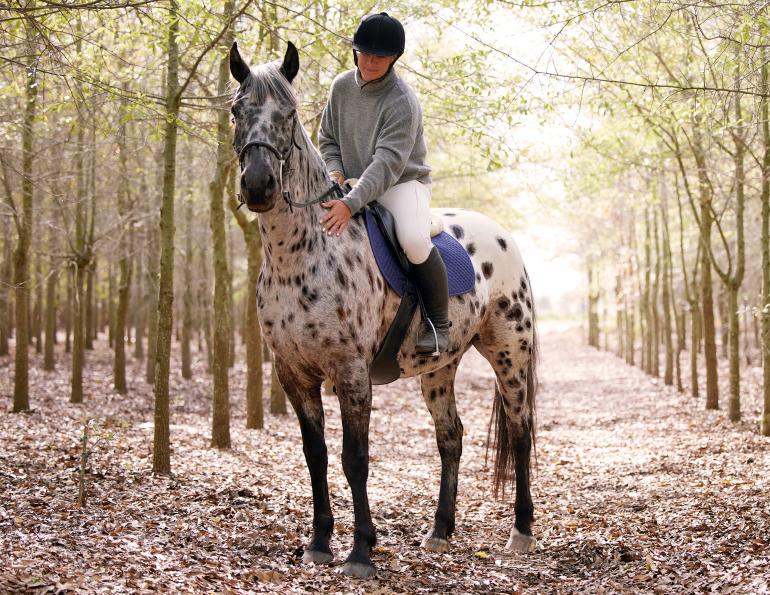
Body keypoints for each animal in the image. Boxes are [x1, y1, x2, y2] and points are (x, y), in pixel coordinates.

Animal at [228, 41, 538, 578]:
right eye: (235, 111)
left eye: (289, 114)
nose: (259, 187)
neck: (301, 254)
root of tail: (502, 236)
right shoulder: (293, 373)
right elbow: (316, 455)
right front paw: (319, 543)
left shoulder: (351, 373)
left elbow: (355, 459)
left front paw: (360, 553)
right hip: (440, 368)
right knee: (451, 436)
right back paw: (440, 532)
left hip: (509, 355)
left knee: (518, 431)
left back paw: (520, 531)